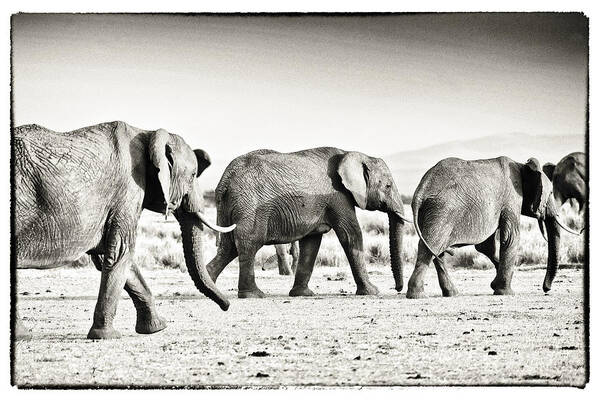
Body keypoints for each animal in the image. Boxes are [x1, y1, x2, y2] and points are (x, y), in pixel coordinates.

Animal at [13, 120, 234, 340]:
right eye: (193, 175)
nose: (227, 306)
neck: (147, 133)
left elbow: (111, 256)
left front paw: (157, 328)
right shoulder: (128, 190)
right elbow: (121, 251)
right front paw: (106, 336)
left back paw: (21, 335)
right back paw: (22, 335)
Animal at [204, 147, 410, 296]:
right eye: (388, 186)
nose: (398, 289)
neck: (352, 154)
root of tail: (225, 180)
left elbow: (312, 243)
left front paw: (302, 294)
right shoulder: (338, 196)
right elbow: (351, 235)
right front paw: (372, 292)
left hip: (230, 206)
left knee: (228, 247)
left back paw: (207, 289)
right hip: (250, 205)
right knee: (249, 243)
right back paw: (253, 294)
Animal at [406, 155, 580, 298]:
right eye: (550, 194)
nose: (546, 289)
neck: (522, 166)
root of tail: (420, 191)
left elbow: (485, 246)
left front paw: (495, 284)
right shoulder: (512, 198)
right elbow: (511, 237)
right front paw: (505, 292)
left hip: (431, 212)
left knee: (434, 249)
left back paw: (451, 293)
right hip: (442, 210)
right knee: (432, 245)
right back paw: (418, 295)